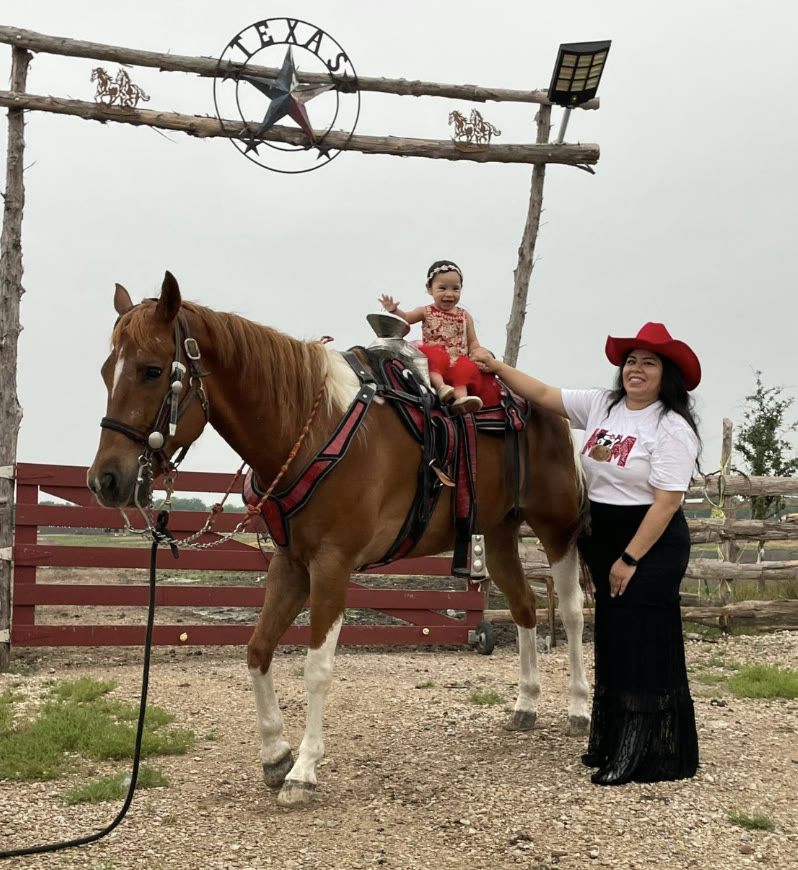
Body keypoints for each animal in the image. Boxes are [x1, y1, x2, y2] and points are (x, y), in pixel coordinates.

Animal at [88, 272, 590, 808]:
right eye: (106, 371)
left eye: (152, 371)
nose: (105, 481)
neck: (311, 428)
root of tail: (547, 406)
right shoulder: (290, 564)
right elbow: (257, 650)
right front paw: (275, 755)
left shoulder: (332, 566)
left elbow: (316, 669)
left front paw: (303, 770)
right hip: (496, 535)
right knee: (524, 608)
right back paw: (526, 704)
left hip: (557, 530)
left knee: (572, 613)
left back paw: (579, 709)